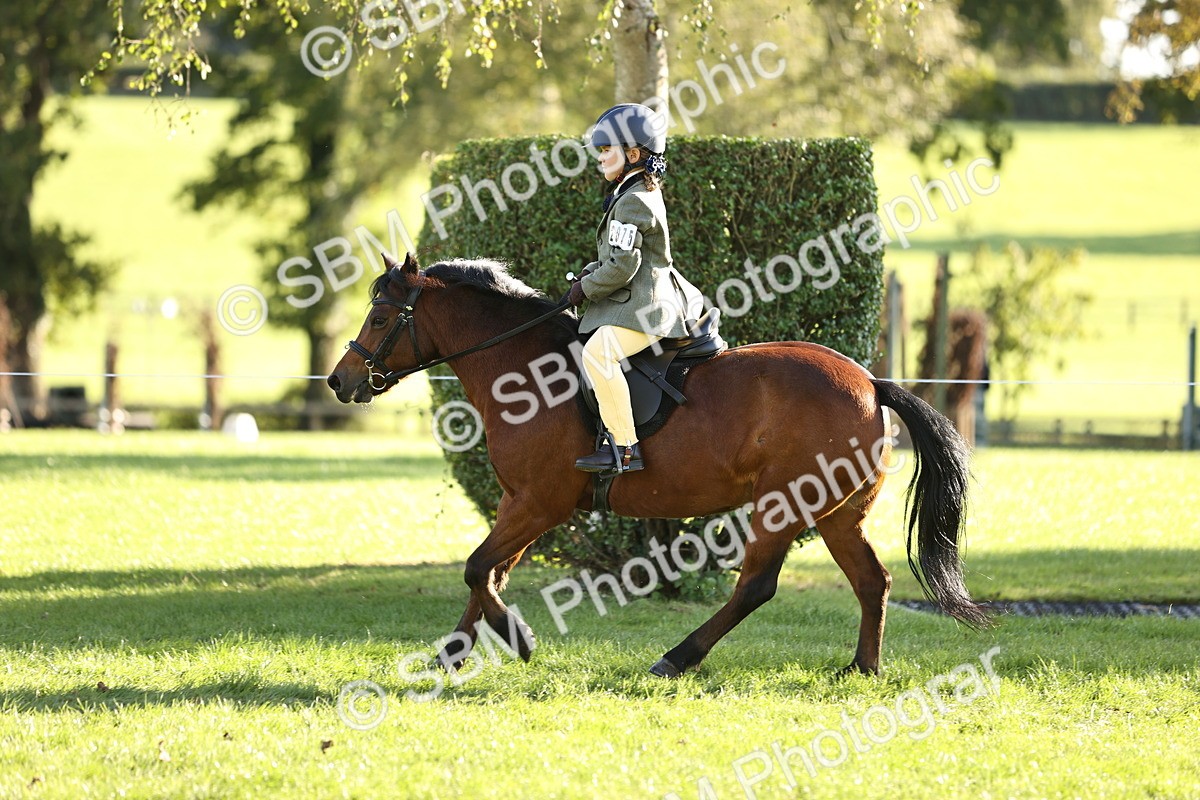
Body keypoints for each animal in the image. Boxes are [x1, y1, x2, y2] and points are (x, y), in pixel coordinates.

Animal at [327, 252, 989, 679]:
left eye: (381, 318)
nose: (339, 380)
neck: (522, 369)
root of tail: (872, 382)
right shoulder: (519, 502)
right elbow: (489, 572)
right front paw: (452, 654)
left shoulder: (541, 502)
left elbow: (477, 568)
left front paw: (519, 639)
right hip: (837, 515)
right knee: (871, 581)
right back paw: (862, 669)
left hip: (782, 506)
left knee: (757, 586)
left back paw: (676, 658)